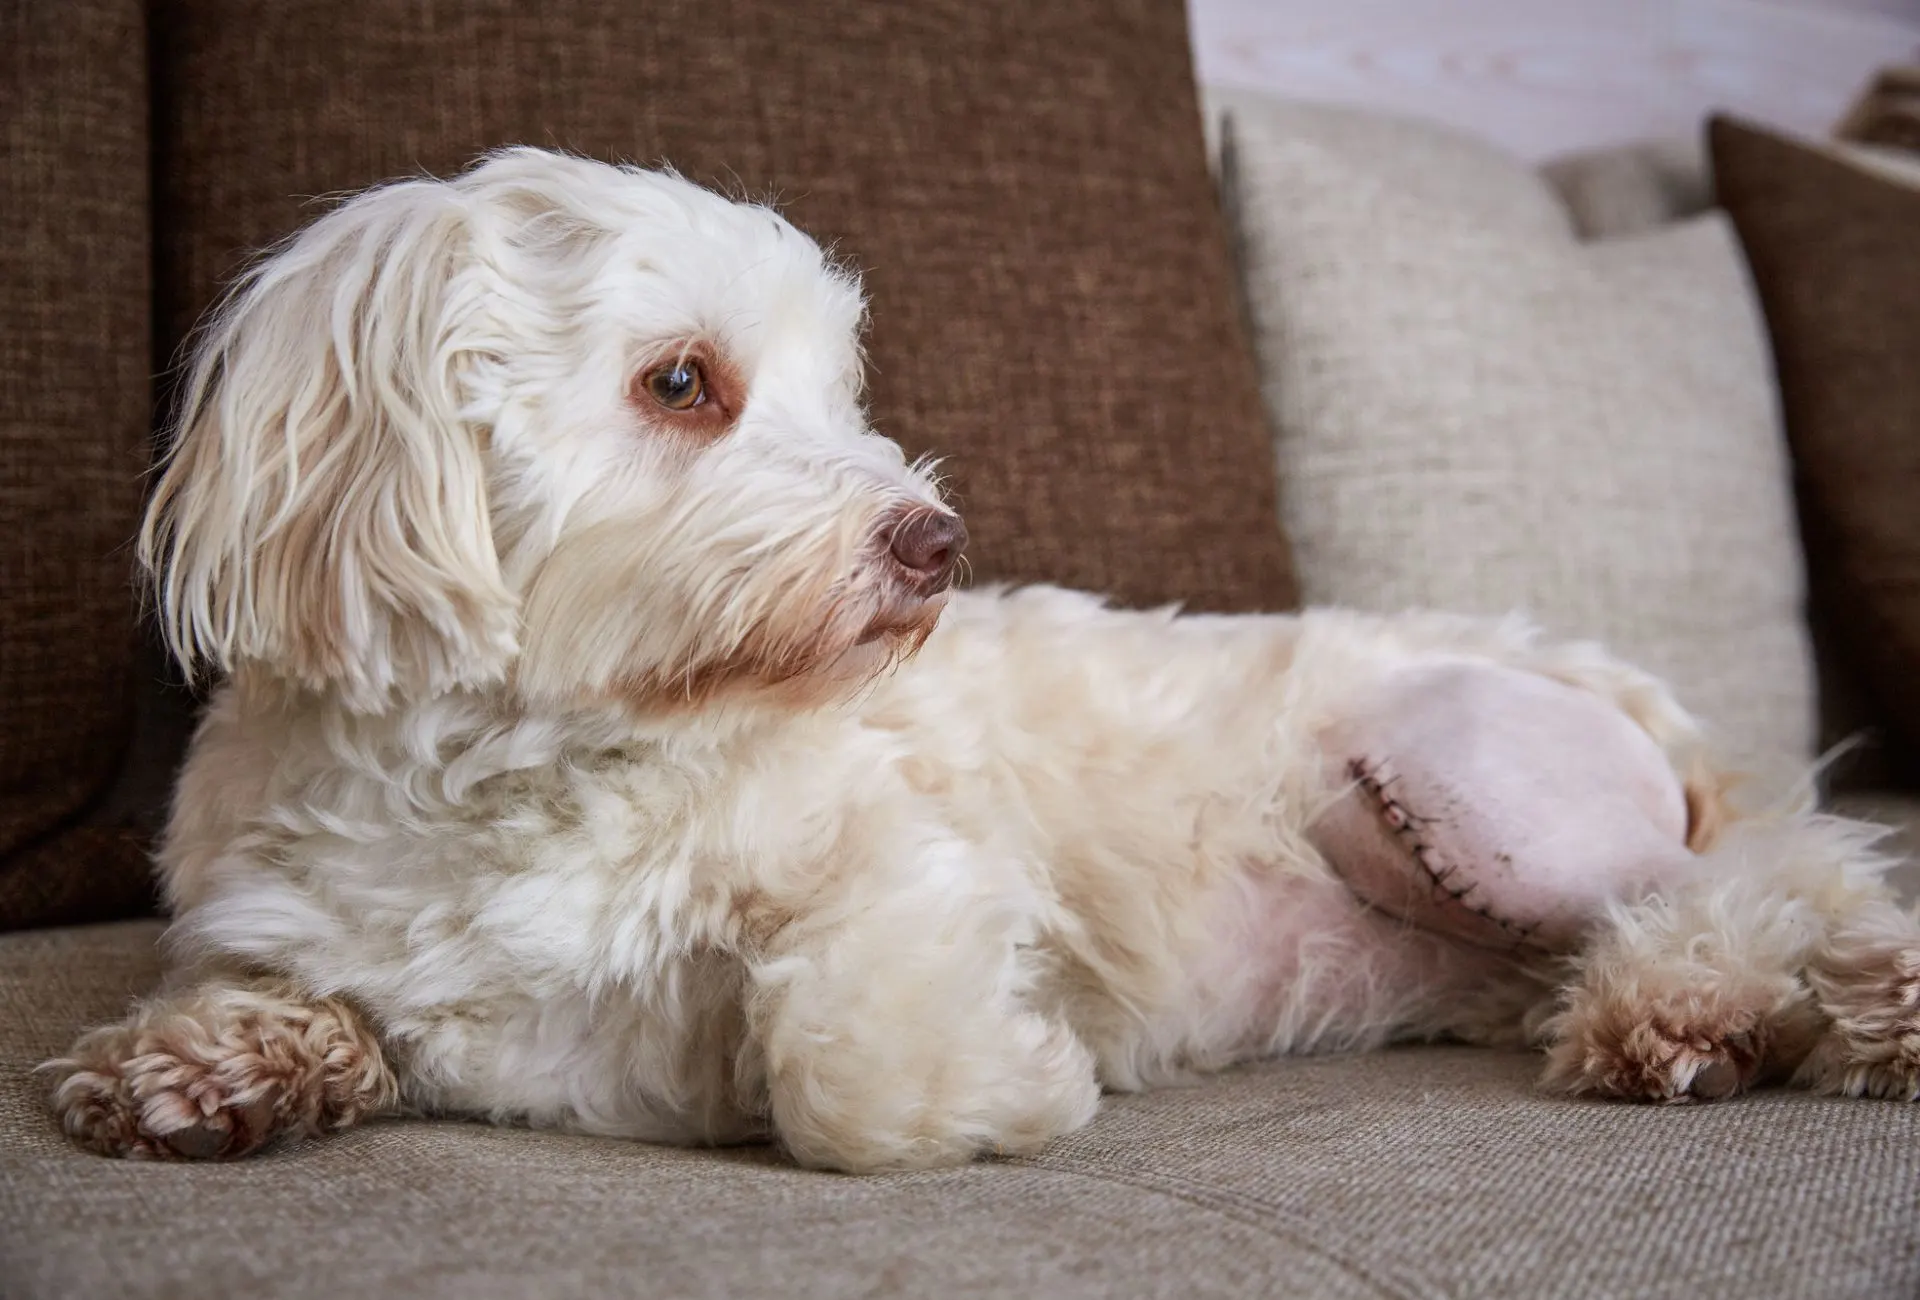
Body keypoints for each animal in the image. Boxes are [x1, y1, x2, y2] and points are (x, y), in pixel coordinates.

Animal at [48, 146, 1920, 1167]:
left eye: (840, 386)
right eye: (681, 384)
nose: (932, 542)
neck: (530, 768)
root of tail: (1618, 682)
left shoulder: (918, 871)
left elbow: (843, 1071)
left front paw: (1014, 1080)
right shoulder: (328, 939)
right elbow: (300, 1002)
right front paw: (205, 1071)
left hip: (1478, 781)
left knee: (1771, 874)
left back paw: (1757, 1006)